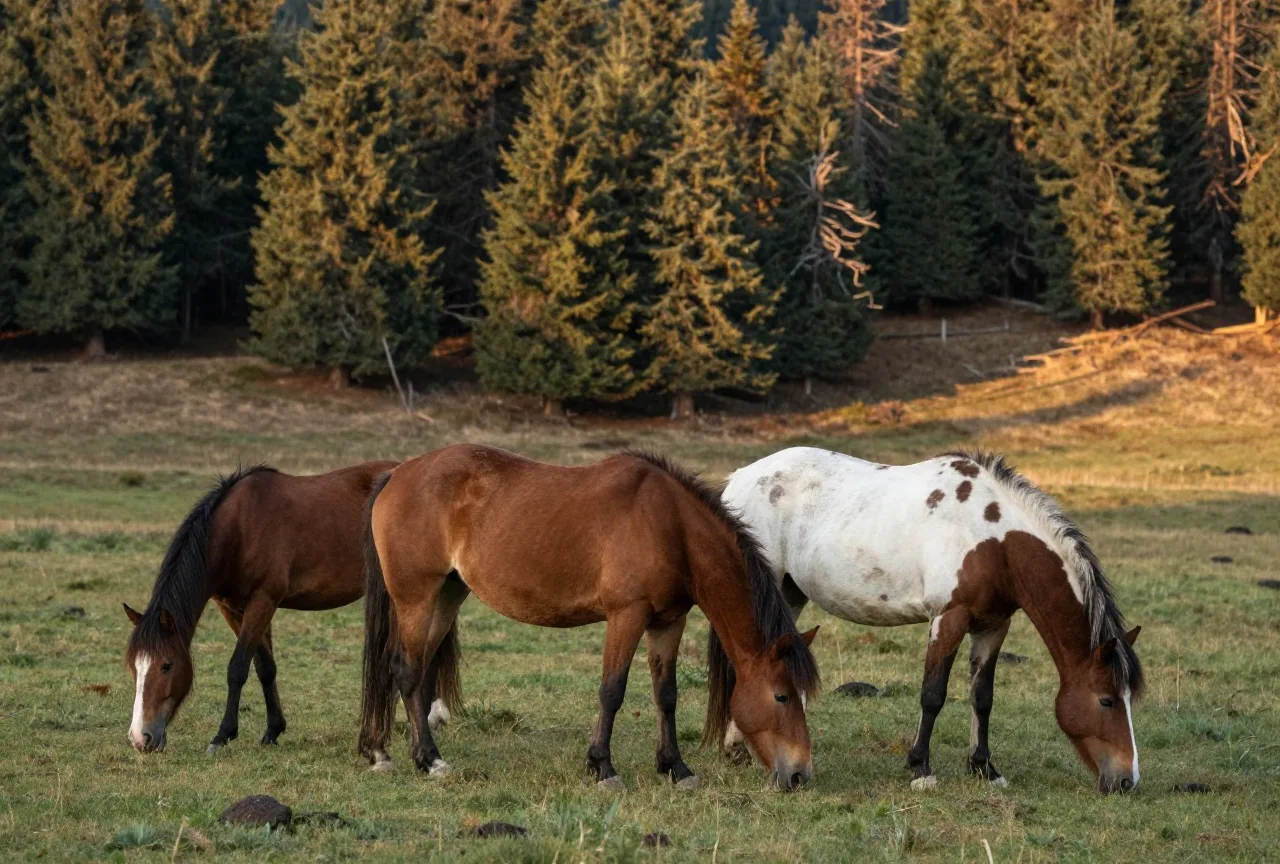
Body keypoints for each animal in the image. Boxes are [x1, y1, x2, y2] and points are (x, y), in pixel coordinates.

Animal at [123, 461, 460, 754]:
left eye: (167, 665)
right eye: (133, 666)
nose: (141, 738)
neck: (237, 530)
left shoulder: (263, 601)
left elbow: (237, 668)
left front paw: (222, 735)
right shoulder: (234, 609)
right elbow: (264, 667)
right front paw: (273, 730)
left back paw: (427, 717)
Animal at [359, 444, 821, 790]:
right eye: (781, 696)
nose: (800, 774)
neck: (669, 525)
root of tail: (397, 475)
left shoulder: (668, 621)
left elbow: (666, 694)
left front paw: (676, 767)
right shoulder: (627, 615)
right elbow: (612, 691)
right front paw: (602, 767)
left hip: (447, 596)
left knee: (418, 670)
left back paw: (395, 752)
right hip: (417, 598)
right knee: (406, 670)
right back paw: (430, 760)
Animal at [721, 447, 1144, 794]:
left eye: (1128, 700)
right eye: (1106, 701)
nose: (1127, 780)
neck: (993, 539)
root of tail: (739, 478)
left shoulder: (993, 625)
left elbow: (982, 697)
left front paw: (984, 768)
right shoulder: (948, 618)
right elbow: (933, 694)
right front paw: (921, 768)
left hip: (789, 595)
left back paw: (740, 748)